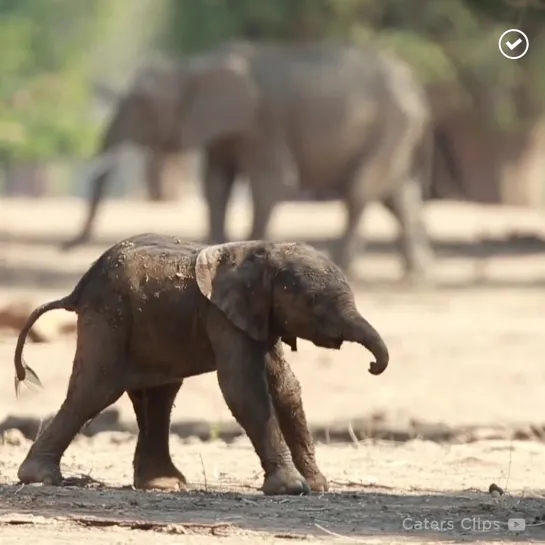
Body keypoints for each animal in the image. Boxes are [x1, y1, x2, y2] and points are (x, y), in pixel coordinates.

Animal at [12, 234, 386, 492]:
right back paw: (39, 478)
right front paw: (292, 489)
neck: (262, 252)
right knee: (96, 390)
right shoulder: (221, 316)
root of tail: (77, 289)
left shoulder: (256, 315)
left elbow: (285, 387)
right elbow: (243, 389)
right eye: (312, 301)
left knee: (158, 397)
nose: (373, 367)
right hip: (108, 317)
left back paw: (164, 485)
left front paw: (318, 486)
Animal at [61, 39, 432, 280]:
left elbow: (273, 182)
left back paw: (344, 263)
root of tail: (414, 84)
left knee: (361, 190)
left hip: (393, 122)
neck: (194, 66)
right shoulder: (223, 131)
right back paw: (417, 270)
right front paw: (209, 255)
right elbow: (215, 184)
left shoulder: (262, 121)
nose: (67, 248)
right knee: (397, 195)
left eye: (144, 103)